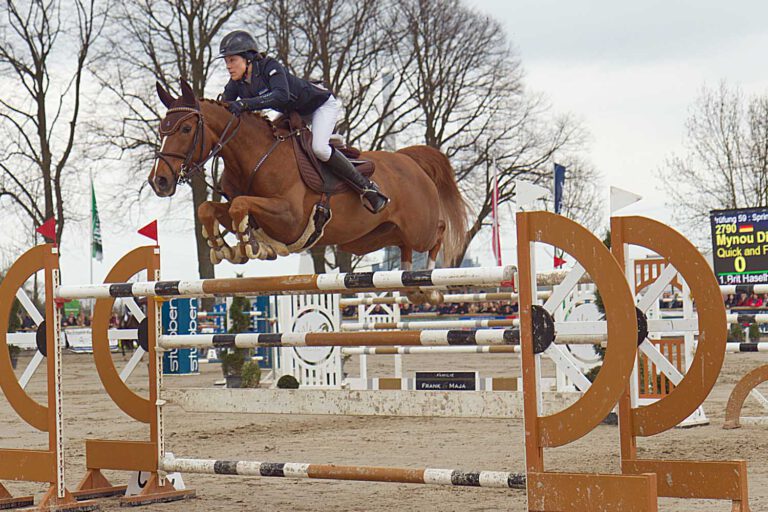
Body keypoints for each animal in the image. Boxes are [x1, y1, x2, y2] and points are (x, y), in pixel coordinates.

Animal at [147, 81, 464, 272]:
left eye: (186, 129)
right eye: (162, 128)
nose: (159, 181)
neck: (255, 156)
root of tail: (409, 161)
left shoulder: (290, 218)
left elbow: (240, 206)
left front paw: (250, 244)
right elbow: (209, 208)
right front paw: (222, 247)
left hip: (419, 227)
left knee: (438, 232)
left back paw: (427, 279)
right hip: (365, 239)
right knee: (402, 244)